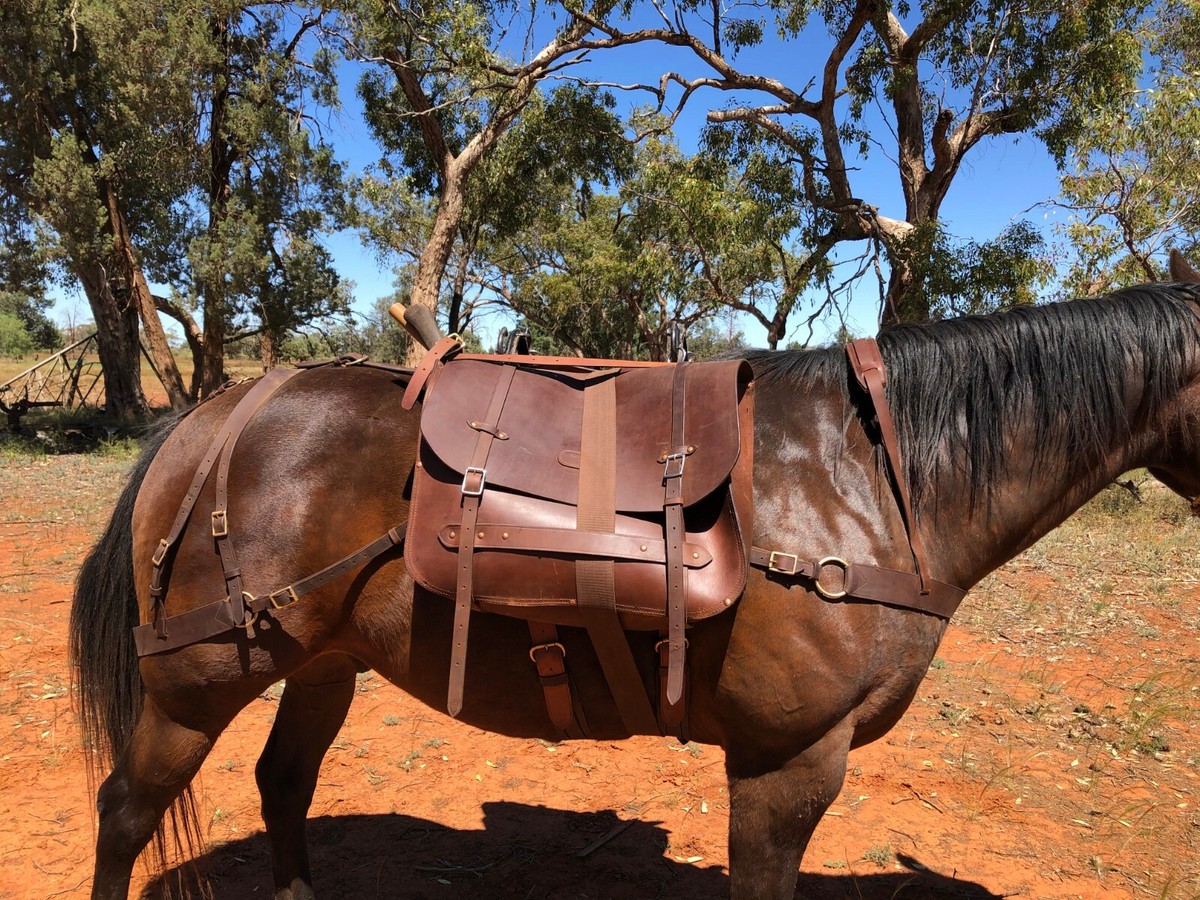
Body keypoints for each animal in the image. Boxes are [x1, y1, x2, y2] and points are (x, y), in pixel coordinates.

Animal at [71, 269, 1200, 900]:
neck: (872, 482)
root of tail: (222, 412)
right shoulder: (786, 764)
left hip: (323, 665)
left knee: (283, 785)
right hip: (199, 684)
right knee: (124, 811)